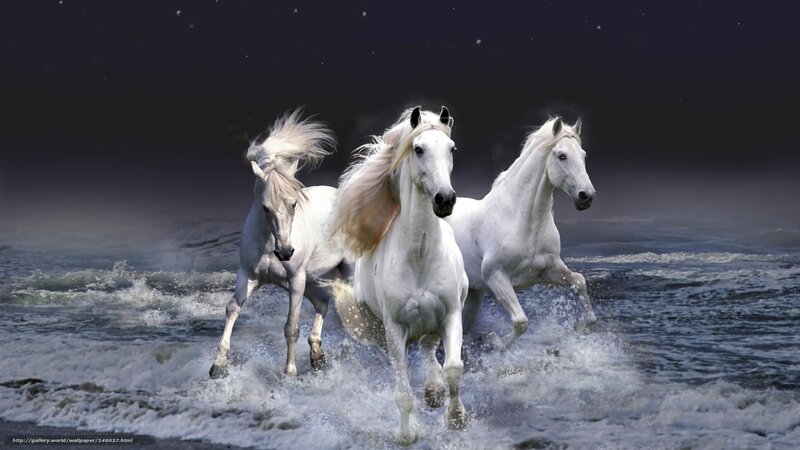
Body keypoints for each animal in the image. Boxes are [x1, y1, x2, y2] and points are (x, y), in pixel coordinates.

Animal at [209, 109, 354, 379]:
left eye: (294, 203)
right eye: (265, 207)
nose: (285, 252)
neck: (268, 245)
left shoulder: (295, 281)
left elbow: (291, 327)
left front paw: (289, 373)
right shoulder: (248, 275)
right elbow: (232, 308)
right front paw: (218, 366)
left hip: (344, 271)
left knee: (350, 307)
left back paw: (345, 353)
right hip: (315, 278)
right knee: (323, 303)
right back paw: (317, 355)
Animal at [328, 106, 469, 445]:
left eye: (451, 148)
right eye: (418, 149)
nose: (445, 199)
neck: (419, 256)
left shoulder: (451, 314)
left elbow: (453, 368)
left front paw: (456, 418)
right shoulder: (394, 329)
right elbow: (403, 392)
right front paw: (407, 435)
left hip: (433, 322)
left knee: (429, 348)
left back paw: (434, 391)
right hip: (382, 330)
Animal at [445, 117, 597, 350]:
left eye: (583, 155)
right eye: (561, 156)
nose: (586, 196)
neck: (522, 222)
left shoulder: (548, 272)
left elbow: (579, 281)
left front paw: (582, 326)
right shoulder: (496, 277)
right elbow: (521, 321)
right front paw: (494, 341)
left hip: (473, 295)